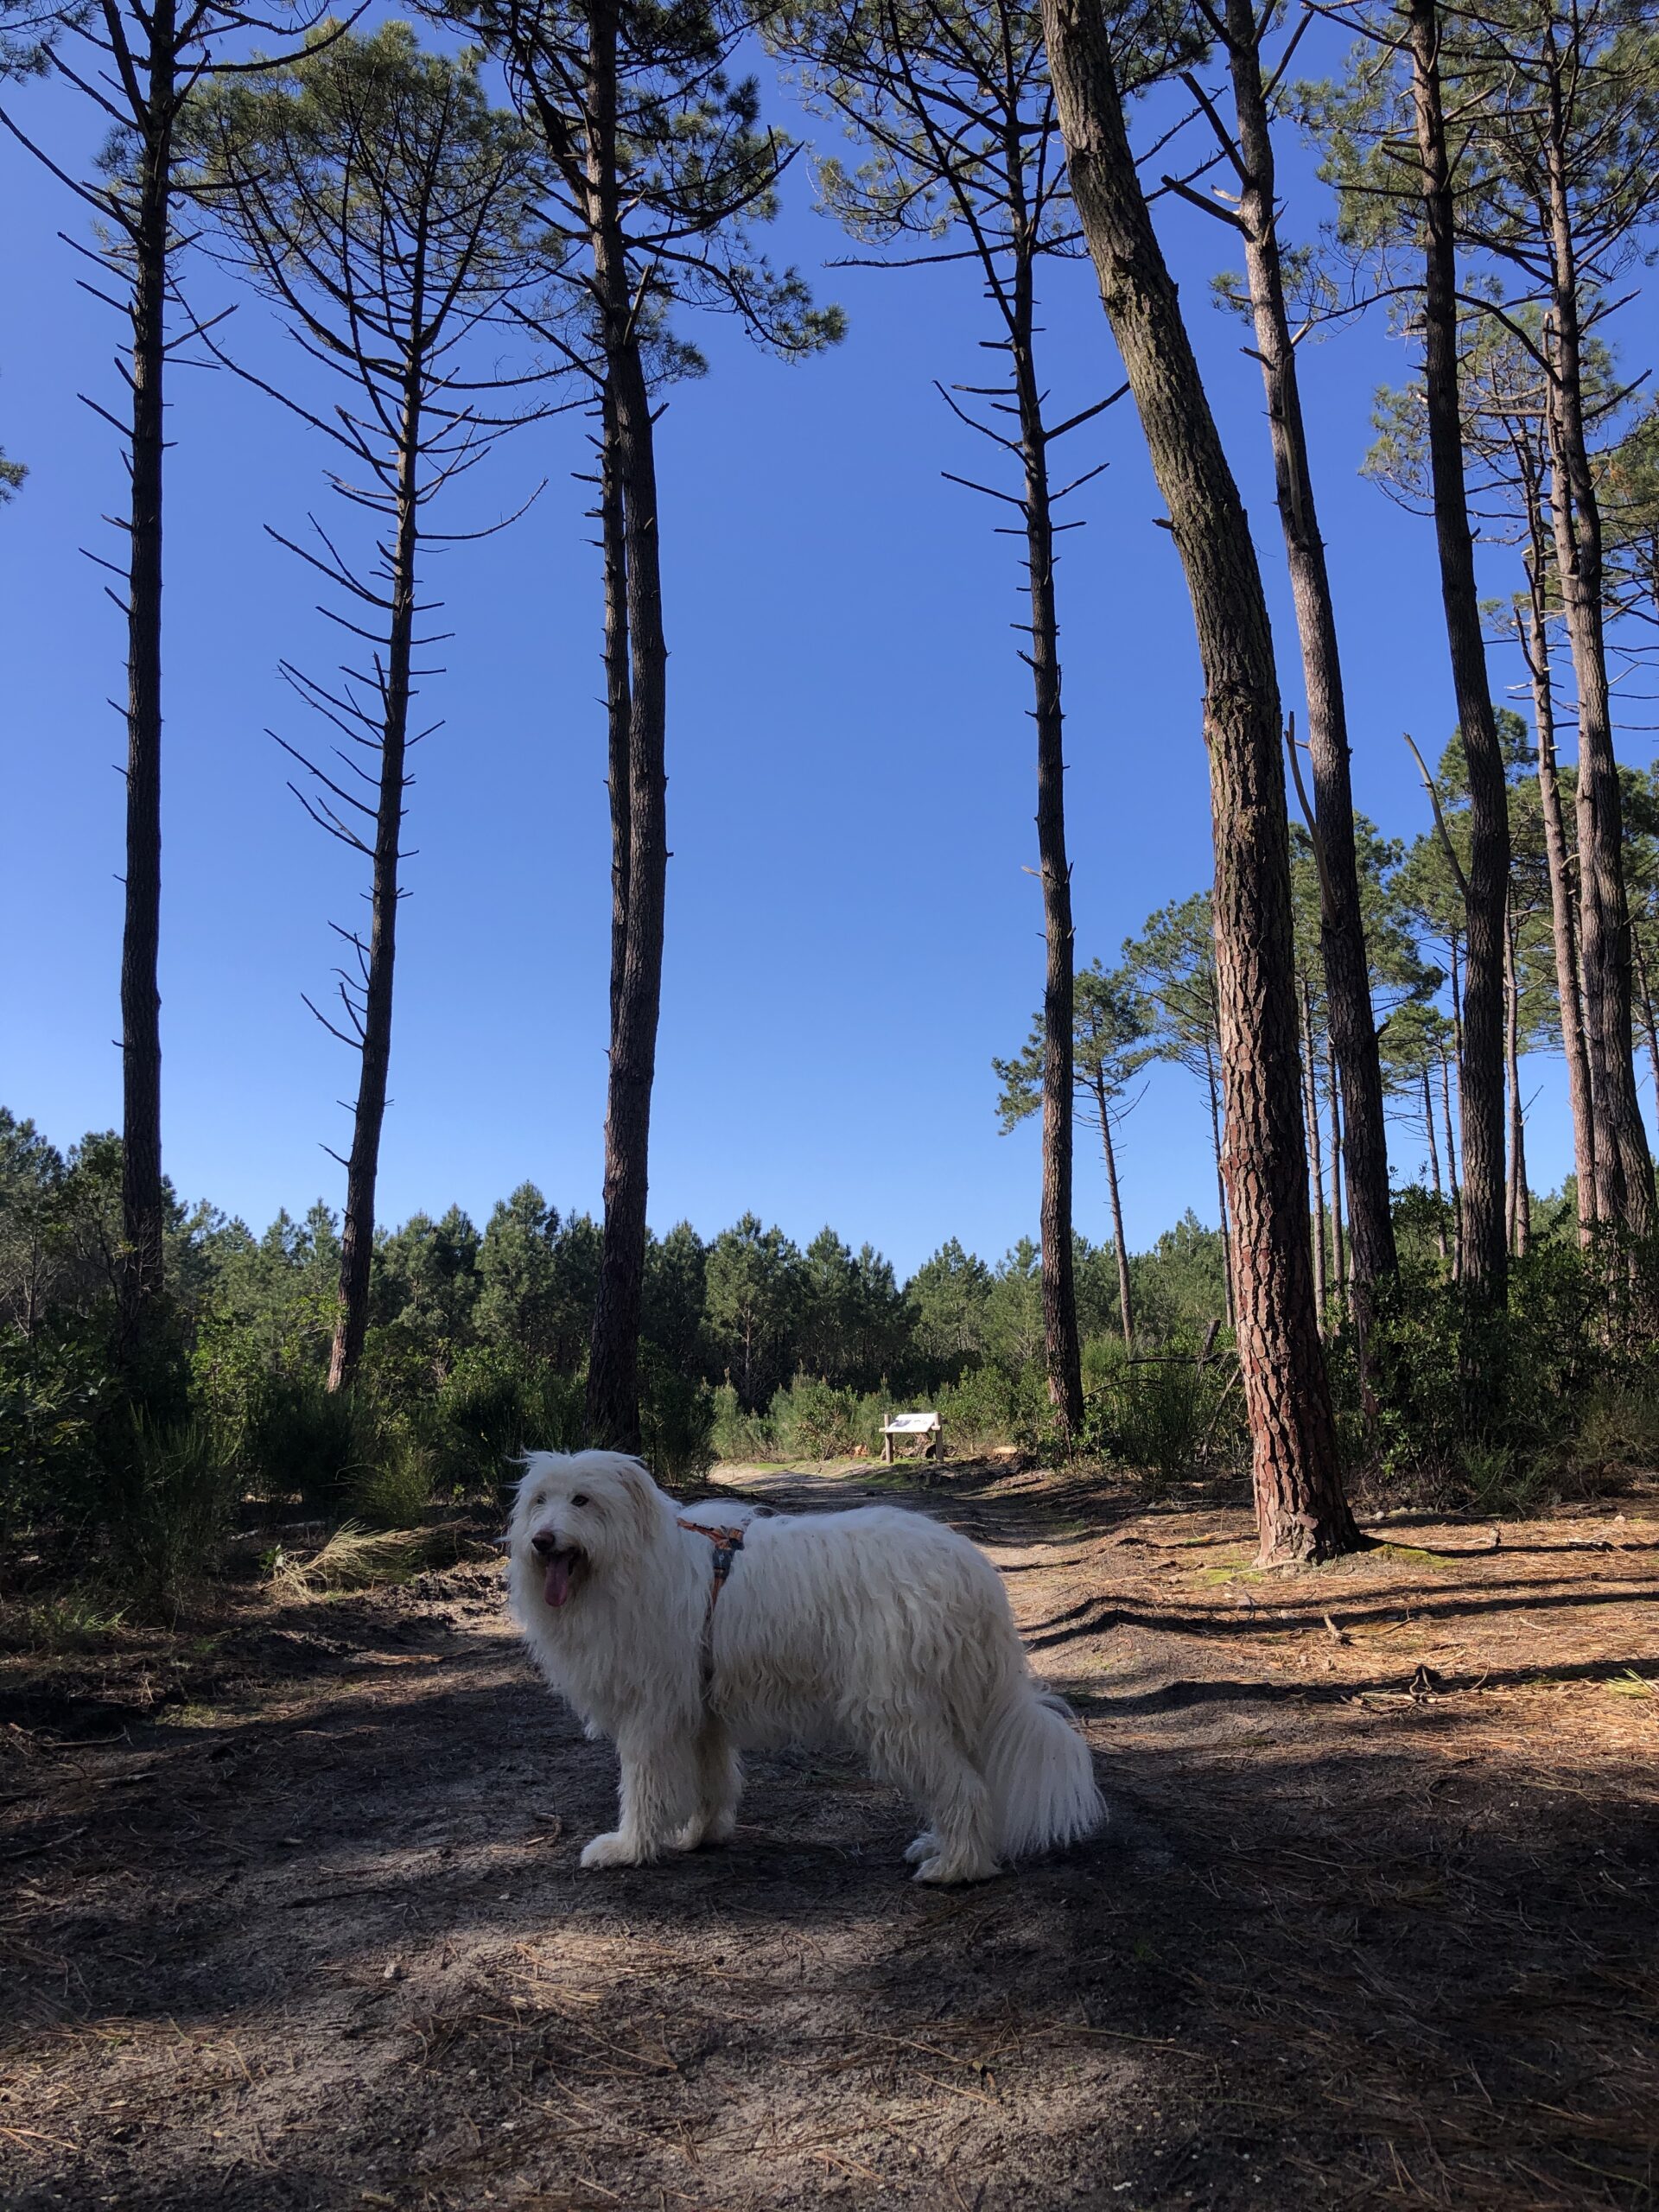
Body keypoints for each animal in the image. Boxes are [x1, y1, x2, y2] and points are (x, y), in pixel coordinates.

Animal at [506, 1451, 1106, 1885]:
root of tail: (975, 1572)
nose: (542, 1540)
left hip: (897, 1710)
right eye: (540, 1501)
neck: (628, 1562)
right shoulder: (701, 1711)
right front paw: (701, 1835)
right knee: (972, 1783)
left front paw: (627, 1848)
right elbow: (711, 1782)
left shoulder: (651, 1713)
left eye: (582, 1499)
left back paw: (955, 1869)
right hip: (945, 1707)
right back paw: (941, 1846)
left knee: (964, 1791)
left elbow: (643, 1787)